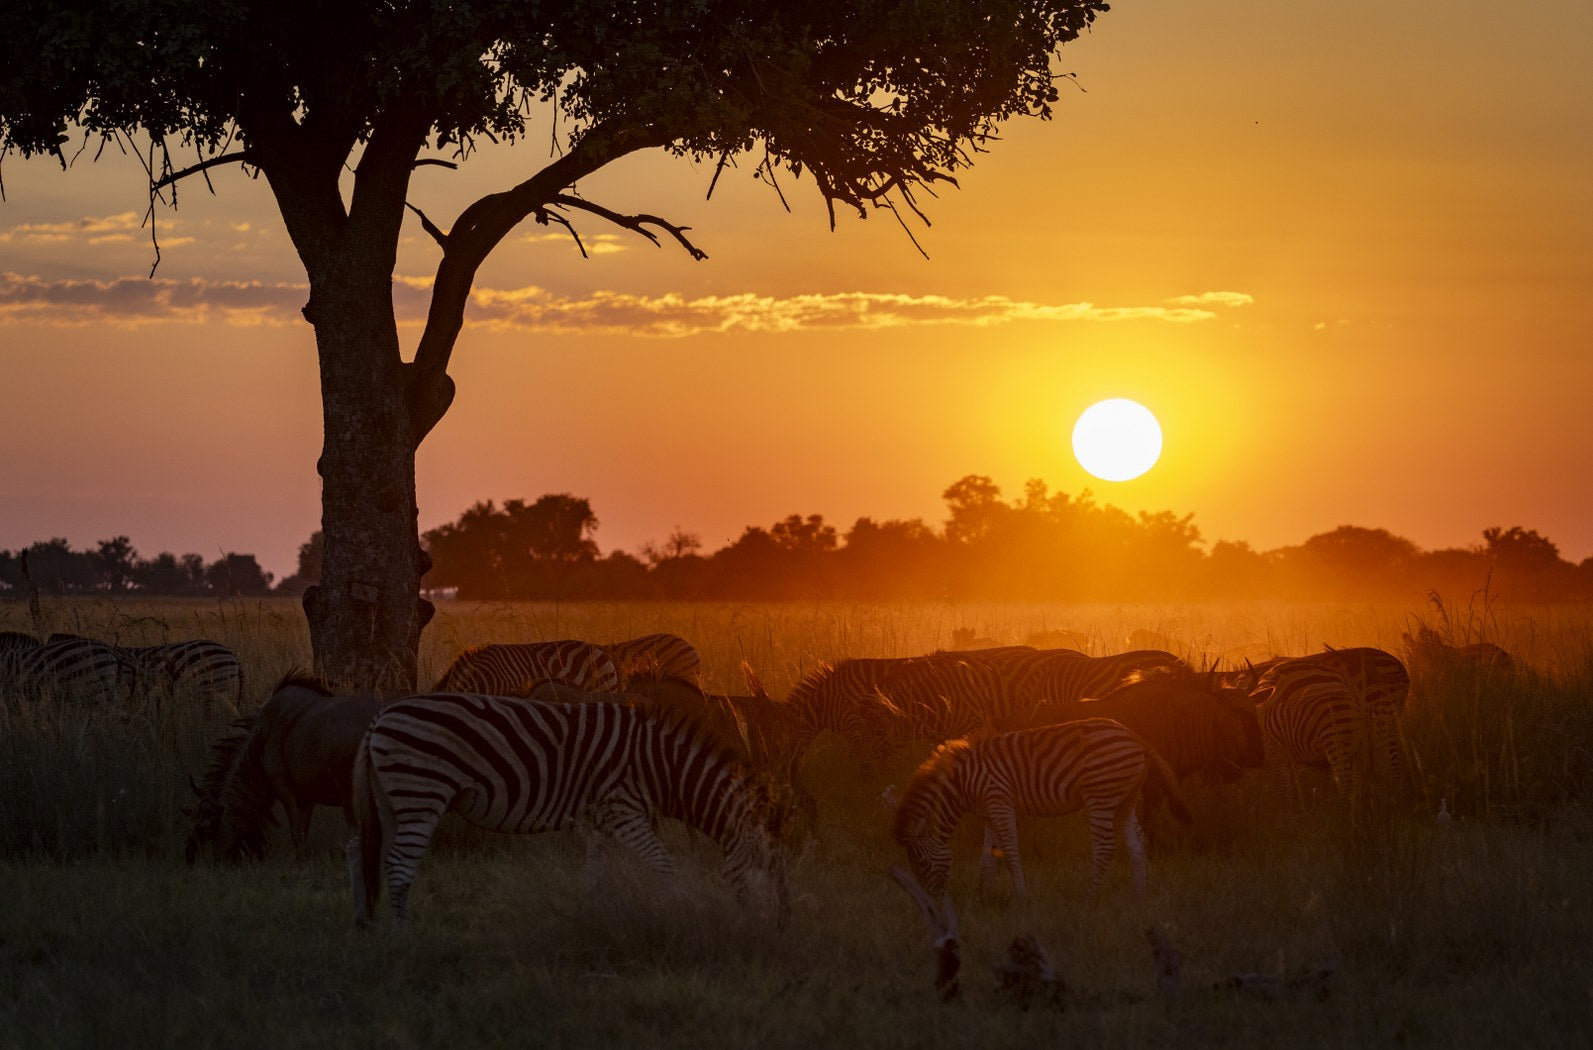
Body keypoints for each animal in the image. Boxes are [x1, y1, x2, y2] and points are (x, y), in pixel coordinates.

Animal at [349, 692, 789, 926]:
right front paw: (680, 910)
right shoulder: (623, 810)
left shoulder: (600, 819)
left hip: (392, 800)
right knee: (399, 865)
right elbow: (663, 864)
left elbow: (595, 875)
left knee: (367, 854)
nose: (771, 928)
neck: (660, 766)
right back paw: (403, 935)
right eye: (765, 865)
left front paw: (591, 917)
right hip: (421, 792)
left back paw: (371, 923)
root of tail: (382, 714)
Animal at [890, 717, 1190, 921]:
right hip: (1125, 800)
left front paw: (1022, 900)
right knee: (1137, 842)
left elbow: (1009, 852)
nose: (931, 906)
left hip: (1101, 797)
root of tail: (1135, 737)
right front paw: (981, 896)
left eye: (921, 863)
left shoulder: (999, 801)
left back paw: (1088, 900)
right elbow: (987, 858)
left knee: (1105, 848)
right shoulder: (989, 812)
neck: (962, 781)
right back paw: (1138, 898)